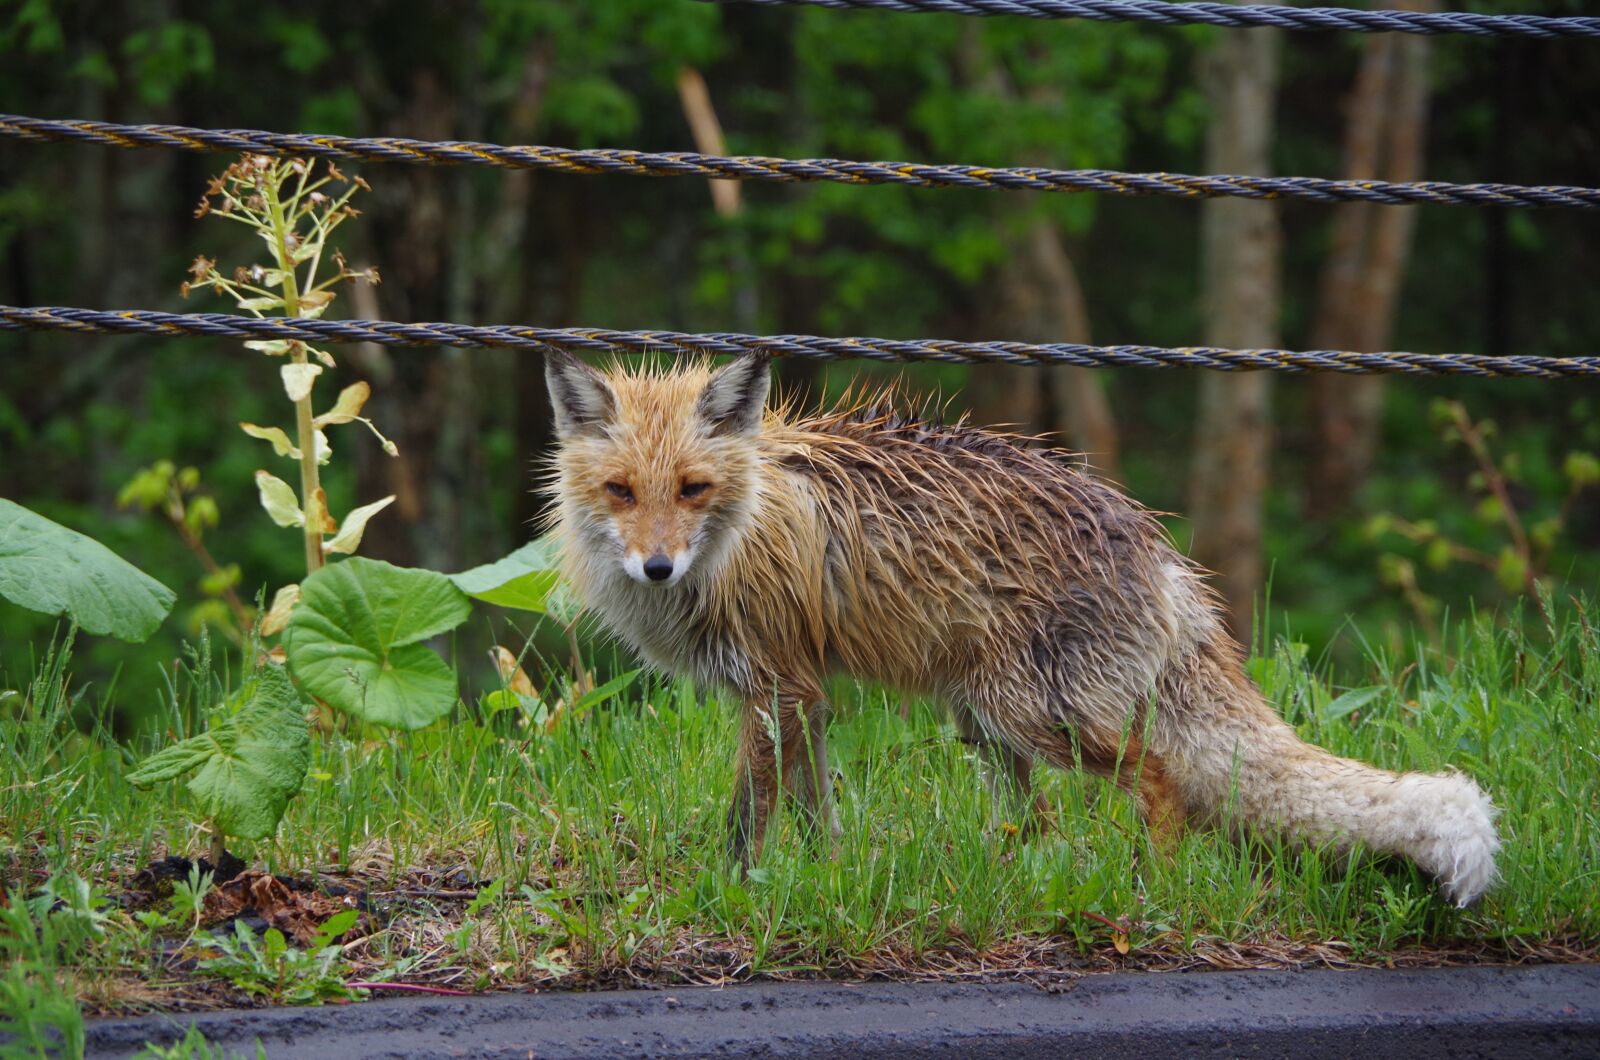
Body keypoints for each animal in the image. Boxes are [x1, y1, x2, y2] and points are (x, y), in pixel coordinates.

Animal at [543, 350, 1500, 906]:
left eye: (693, 489)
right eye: (621, 491)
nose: (656, 567)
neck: (735, 543)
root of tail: (1157, 546)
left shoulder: (778, 687)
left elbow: (747, 819)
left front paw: (730, 896)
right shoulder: (804, 695)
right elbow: (816, 820)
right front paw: (824, 886)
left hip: (1031, 714)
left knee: (1158, 781)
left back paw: (1151, 890)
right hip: (985, 723)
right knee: (1037, 828)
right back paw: (1021, 883)